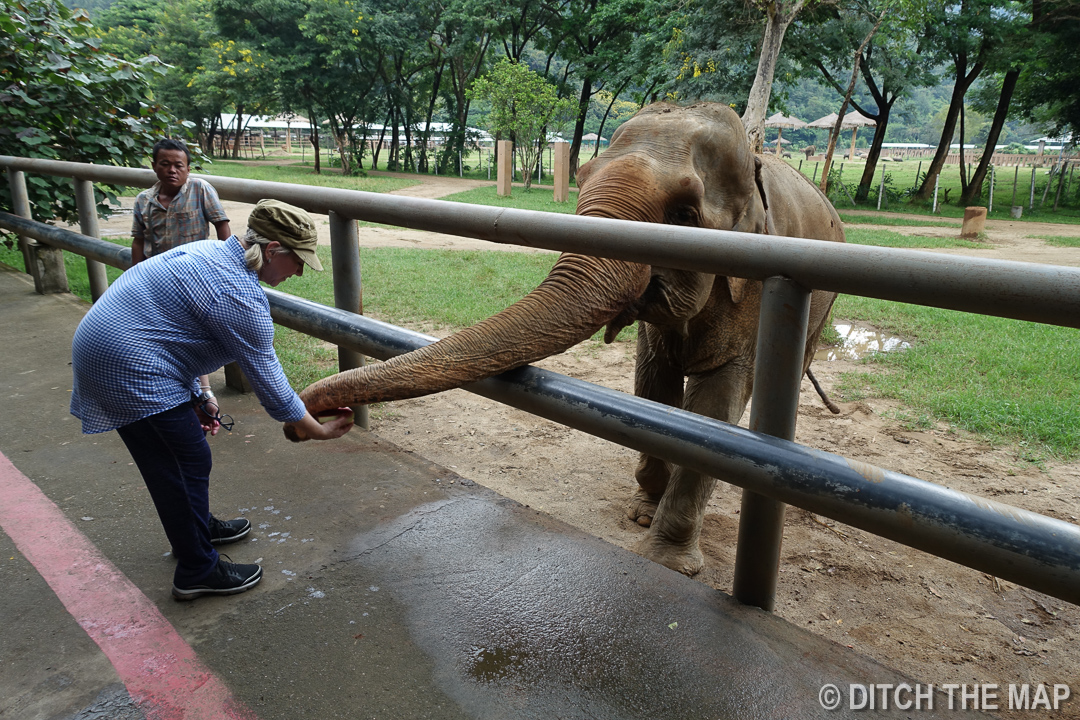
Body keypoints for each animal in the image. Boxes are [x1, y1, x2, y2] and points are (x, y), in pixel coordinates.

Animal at [293, 101, 842, 578]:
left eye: (685, 214)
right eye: (581, 178)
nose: (307, 417)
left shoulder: (753, 290)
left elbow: (716, 407)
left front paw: (667, 562)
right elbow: (654, 386)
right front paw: (642, 513)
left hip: (822, 305)